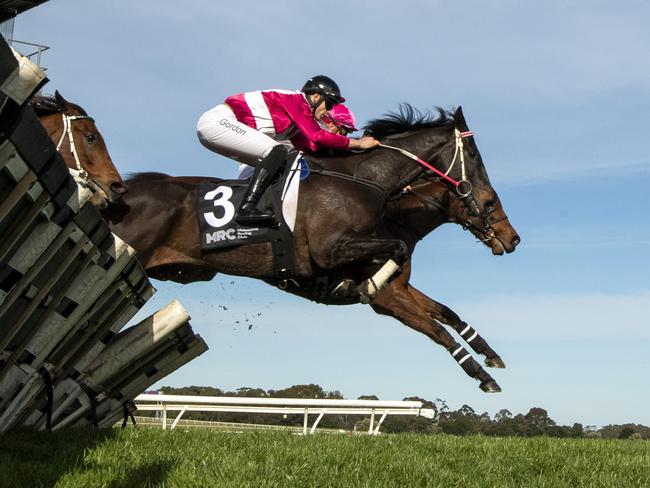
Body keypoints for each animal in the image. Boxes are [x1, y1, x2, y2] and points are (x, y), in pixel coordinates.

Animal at [104, 106, 520, 388]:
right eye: (489, 201)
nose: (513, 238)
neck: (369, 186)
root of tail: (119, 195)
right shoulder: (366, 280)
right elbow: (433, 325)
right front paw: (481, 375)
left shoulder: (400, 290)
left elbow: (446, 313)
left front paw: (490, 355)